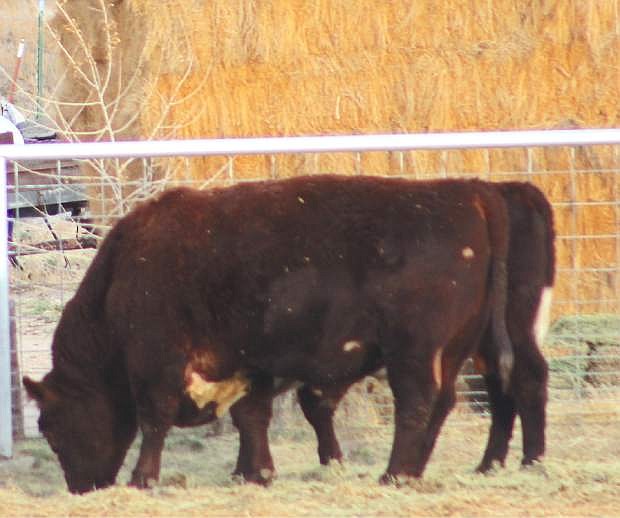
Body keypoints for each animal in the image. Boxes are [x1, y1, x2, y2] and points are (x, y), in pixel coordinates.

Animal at [23, 176, 512, 496]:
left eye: (52, 428)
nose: (80, 488)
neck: (124, 274)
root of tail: (466, 193)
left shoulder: (157, 361)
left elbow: (155, 419)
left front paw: (143, 478)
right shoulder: (247, 363)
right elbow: (251, 417)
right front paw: (253, 472)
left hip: (414, 351)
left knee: (415, 404)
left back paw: (394, 474)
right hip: (455, 349)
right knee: (442, 403)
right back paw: (415, 470)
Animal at [294, 182, 556, 476]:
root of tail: (513, 188)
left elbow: (313, 399)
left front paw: (332, 459)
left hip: (511, 326)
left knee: (527, 376)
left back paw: (530, 461)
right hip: (490, 338)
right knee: (503, 385)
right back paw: (490, 464)